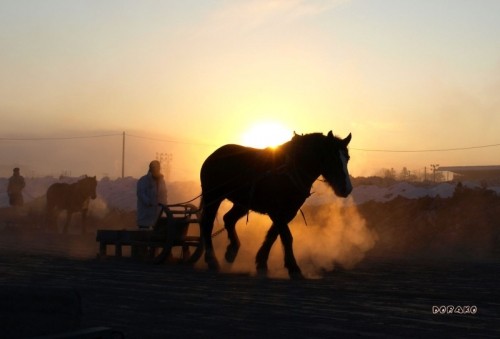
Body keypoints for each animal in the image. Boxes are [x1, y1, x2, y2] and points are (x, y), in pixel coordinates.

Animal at [199, 131, 352, 278]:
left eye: (347, 158)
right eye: (332, 157)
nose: (346, 189)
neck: (288, 169)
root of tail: (213, 156)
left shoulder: (288, 212)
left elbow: (273, 235)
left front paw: (261, 262)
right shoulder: (276, 211)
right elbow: (286, 237)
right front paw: (294, 268)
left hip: (242, 203)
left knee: (228, 219)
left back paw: (231, 251)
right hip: (213, 197)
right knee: (207, 225)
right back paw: (212, 261)